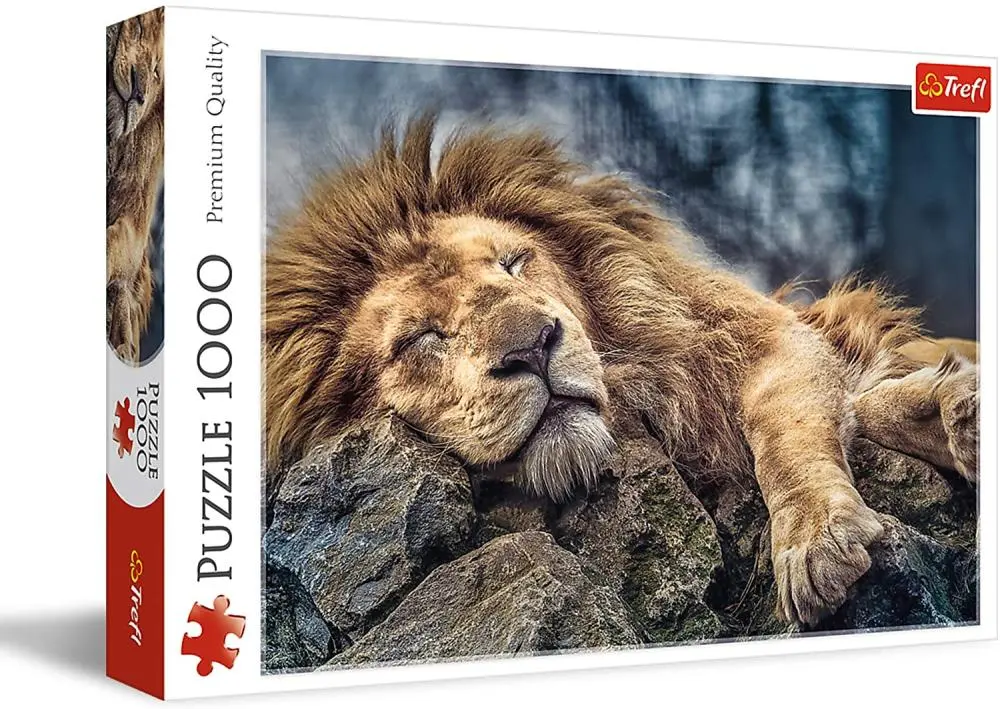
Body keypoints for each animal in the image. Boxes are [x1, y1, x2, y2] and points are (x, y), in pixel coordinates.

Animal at [264, 116, 979, 627]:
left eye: (514, 263)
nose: (533, 347)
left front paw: (818, 538)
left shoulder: (760, 338)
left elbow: (788, 433)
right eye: (421, 338)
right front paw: (946, 414)